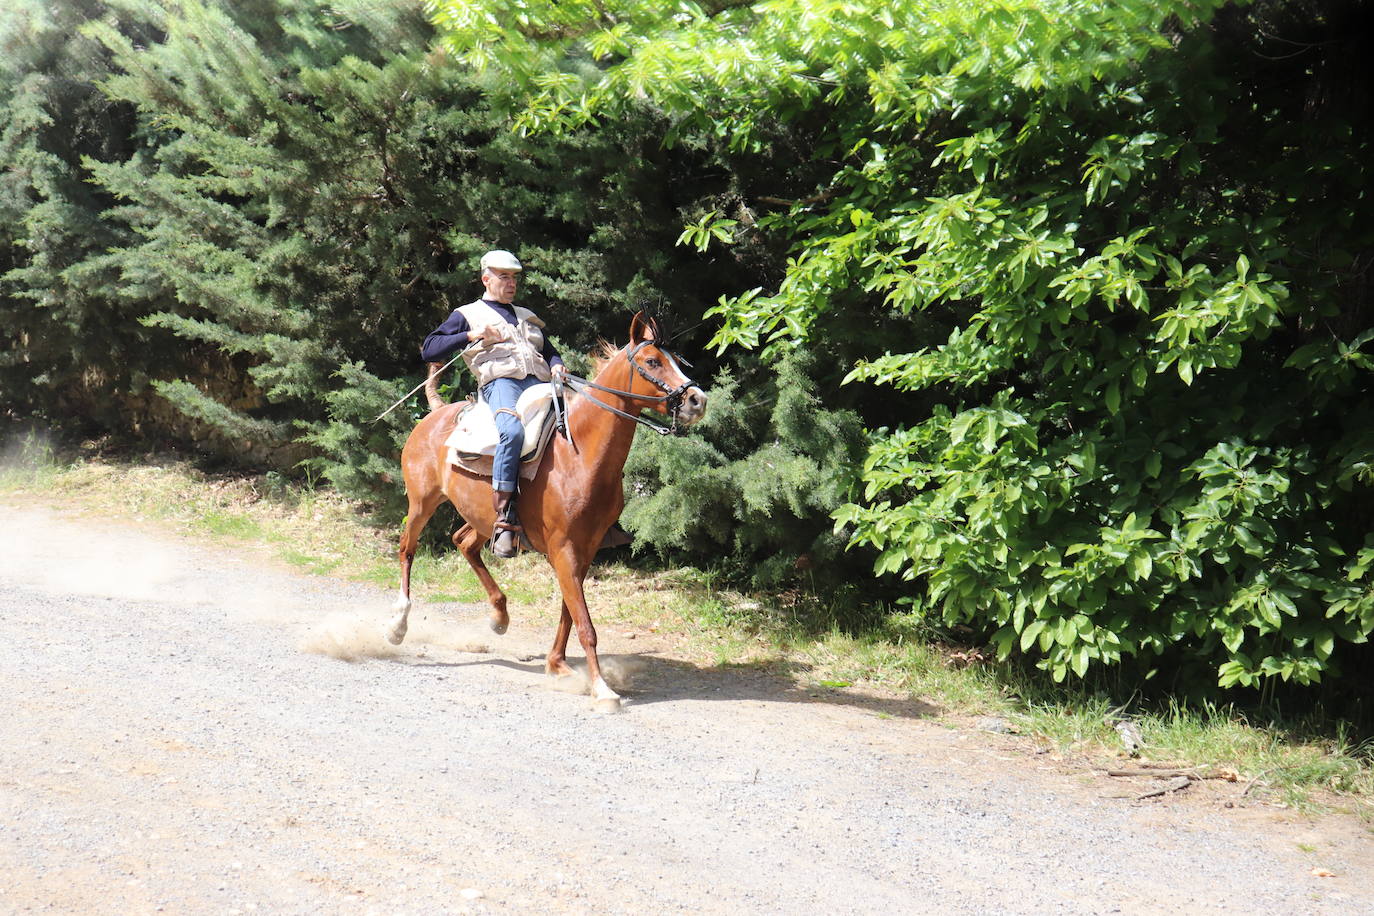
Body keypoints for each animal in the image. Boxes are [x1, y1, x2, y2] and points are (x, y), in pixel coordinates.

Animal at [387, 313, 708, 708]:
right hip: (422, 503)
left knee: (464, 542)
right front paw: (602, 688)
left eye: (675, 359)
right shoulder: (564, 549)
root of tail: (436, 413)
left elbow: (569, 613)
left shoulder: (584, 550)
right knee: (407, 549)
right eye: (652, 361)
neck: (580, 453)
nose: (697, 399)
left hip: (485, 519)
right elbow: (584, 623)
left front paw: (557, 665)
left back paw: (499, 615)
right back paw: (398, 625)